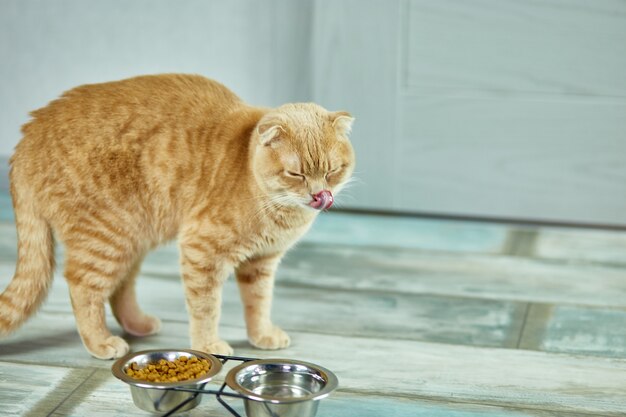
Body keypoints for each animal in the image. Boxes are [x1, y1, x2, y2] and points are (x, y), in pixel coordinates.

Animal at [0, 74, 354, 358]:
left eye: (333, 171)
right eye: (296, 174)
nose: (319, 195)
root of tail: (28, 135)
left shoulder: (261, 263)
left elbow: (258, 303)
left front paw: (261, 335)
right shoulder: (202, 251)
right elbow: (205, 307)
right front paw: (208, 345)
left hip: (131, 239)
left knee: (119, 289)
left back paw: (137, 324)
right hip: (107, 238)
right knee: (83, 288)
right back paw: (101, 342)